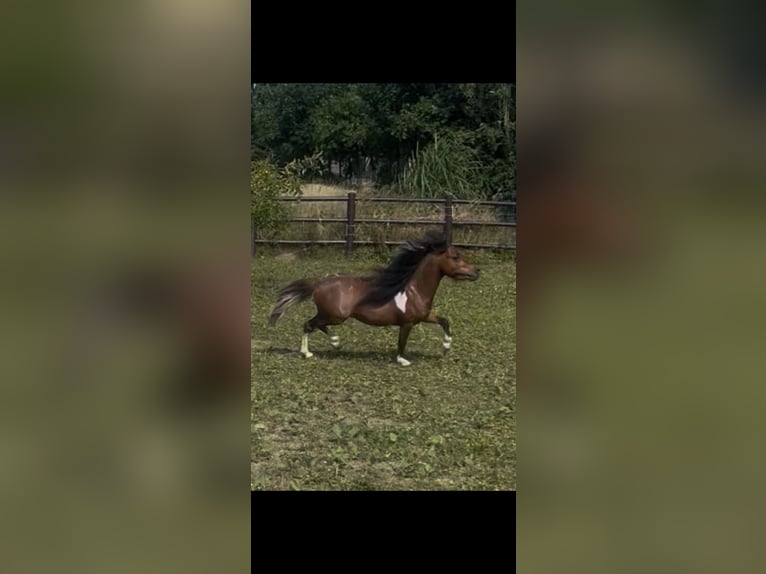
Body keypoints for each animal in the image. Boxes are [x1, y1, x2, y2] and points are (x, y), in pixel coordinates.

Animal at [268, 231, 480, 366]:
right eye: (455, 257)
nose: (476, 271)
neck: (414, 291)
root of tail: (318, 284)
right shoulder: (407, 323)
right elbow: (402, 342)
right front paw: (403, 360)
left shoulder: (424, 316)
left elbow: (445, 321)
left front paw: (446, 348)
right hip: (335, 316)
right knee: (308, 324)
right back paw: (307, 352)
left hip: (332, 316)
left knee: (316, 325)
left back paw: (335, 342)